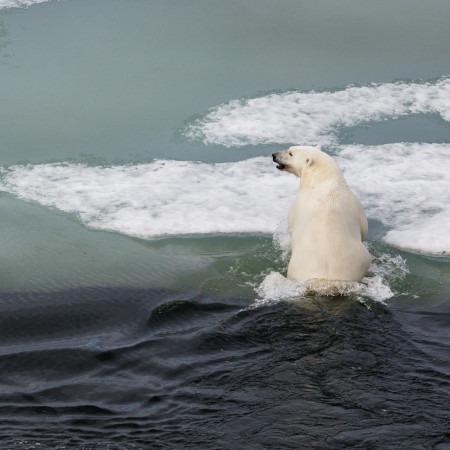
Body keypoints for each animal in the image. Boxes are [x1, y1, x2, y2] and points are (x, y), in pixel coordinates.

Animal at [272, 147, 370, 282]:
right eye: (289, 148)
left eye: (290, 153)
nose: (274, 155)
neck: (324, 181)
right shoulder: (356, 205)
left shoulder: (296, 207)